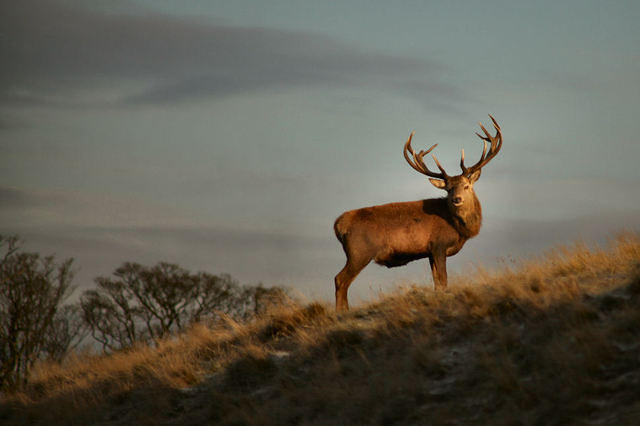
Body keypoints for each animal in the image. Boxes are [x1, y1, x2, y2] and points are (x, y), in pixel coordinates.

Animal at [332, 115, 502, 312]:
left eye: (466, 186)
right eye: (448, 189)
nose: (457, 199)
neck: (459, 228)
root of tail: (338, 224)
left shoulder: (430, 252)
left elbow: (437, 284)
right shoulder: (438, 244)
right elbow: (444, 281)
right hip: (359, 252)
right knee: (340, 279)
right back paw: (341, 312)